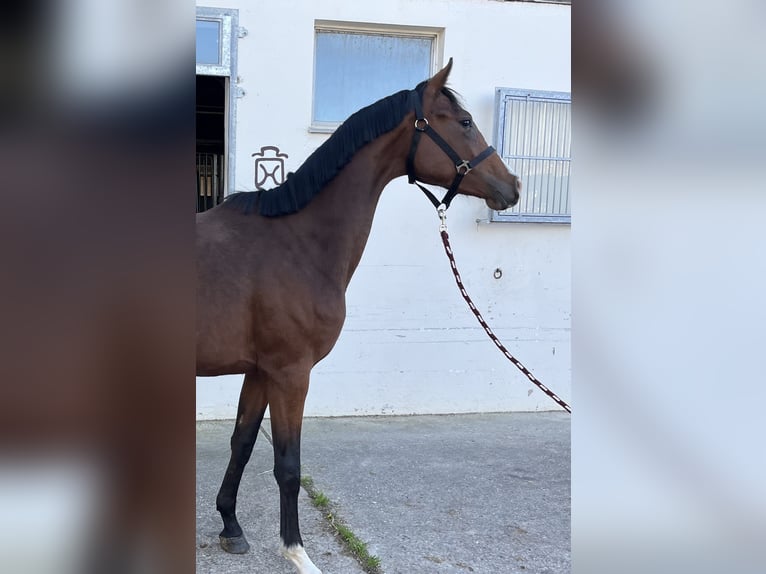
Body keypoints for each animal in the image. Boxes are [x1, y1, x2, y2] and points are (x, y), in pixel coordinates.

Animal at [196, 59, 521, 574]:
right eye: (466, 122)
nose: (512, 186)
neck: (296, 243)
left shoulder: (261, 371)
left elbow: (243, 443)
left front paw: (231, 526)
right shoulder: (291, 373)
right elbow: (288, 466)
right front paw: (297, 552)